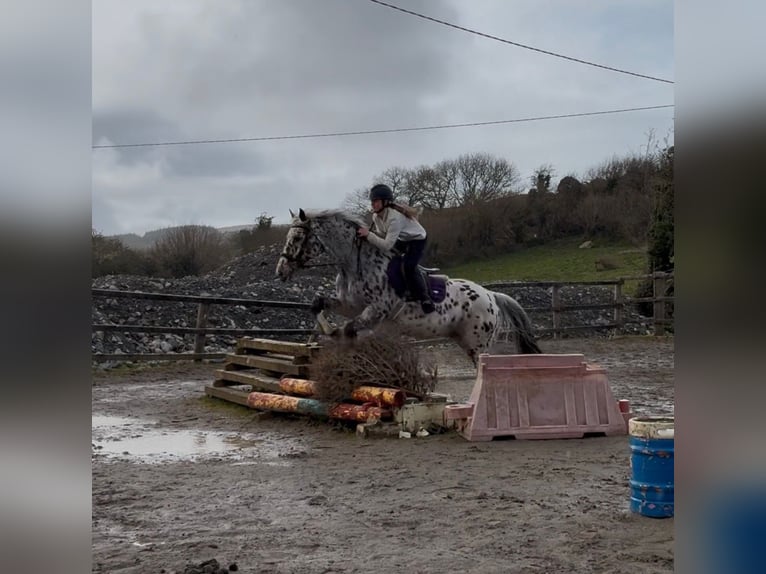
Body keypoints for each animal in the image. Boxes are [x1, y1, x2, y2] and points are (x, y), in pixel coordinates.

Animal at [275, 209, 541, 365]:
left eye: (297, 238)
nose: (281, 271)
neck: (355, 262)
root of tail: (492, 296)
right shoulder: (348, 305)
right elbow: (317, 304)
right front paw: (328, 330)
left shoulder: (376, 311)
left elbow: (350, 329)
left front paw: (342, 339)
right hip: (464, 340)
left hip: (479, 343)